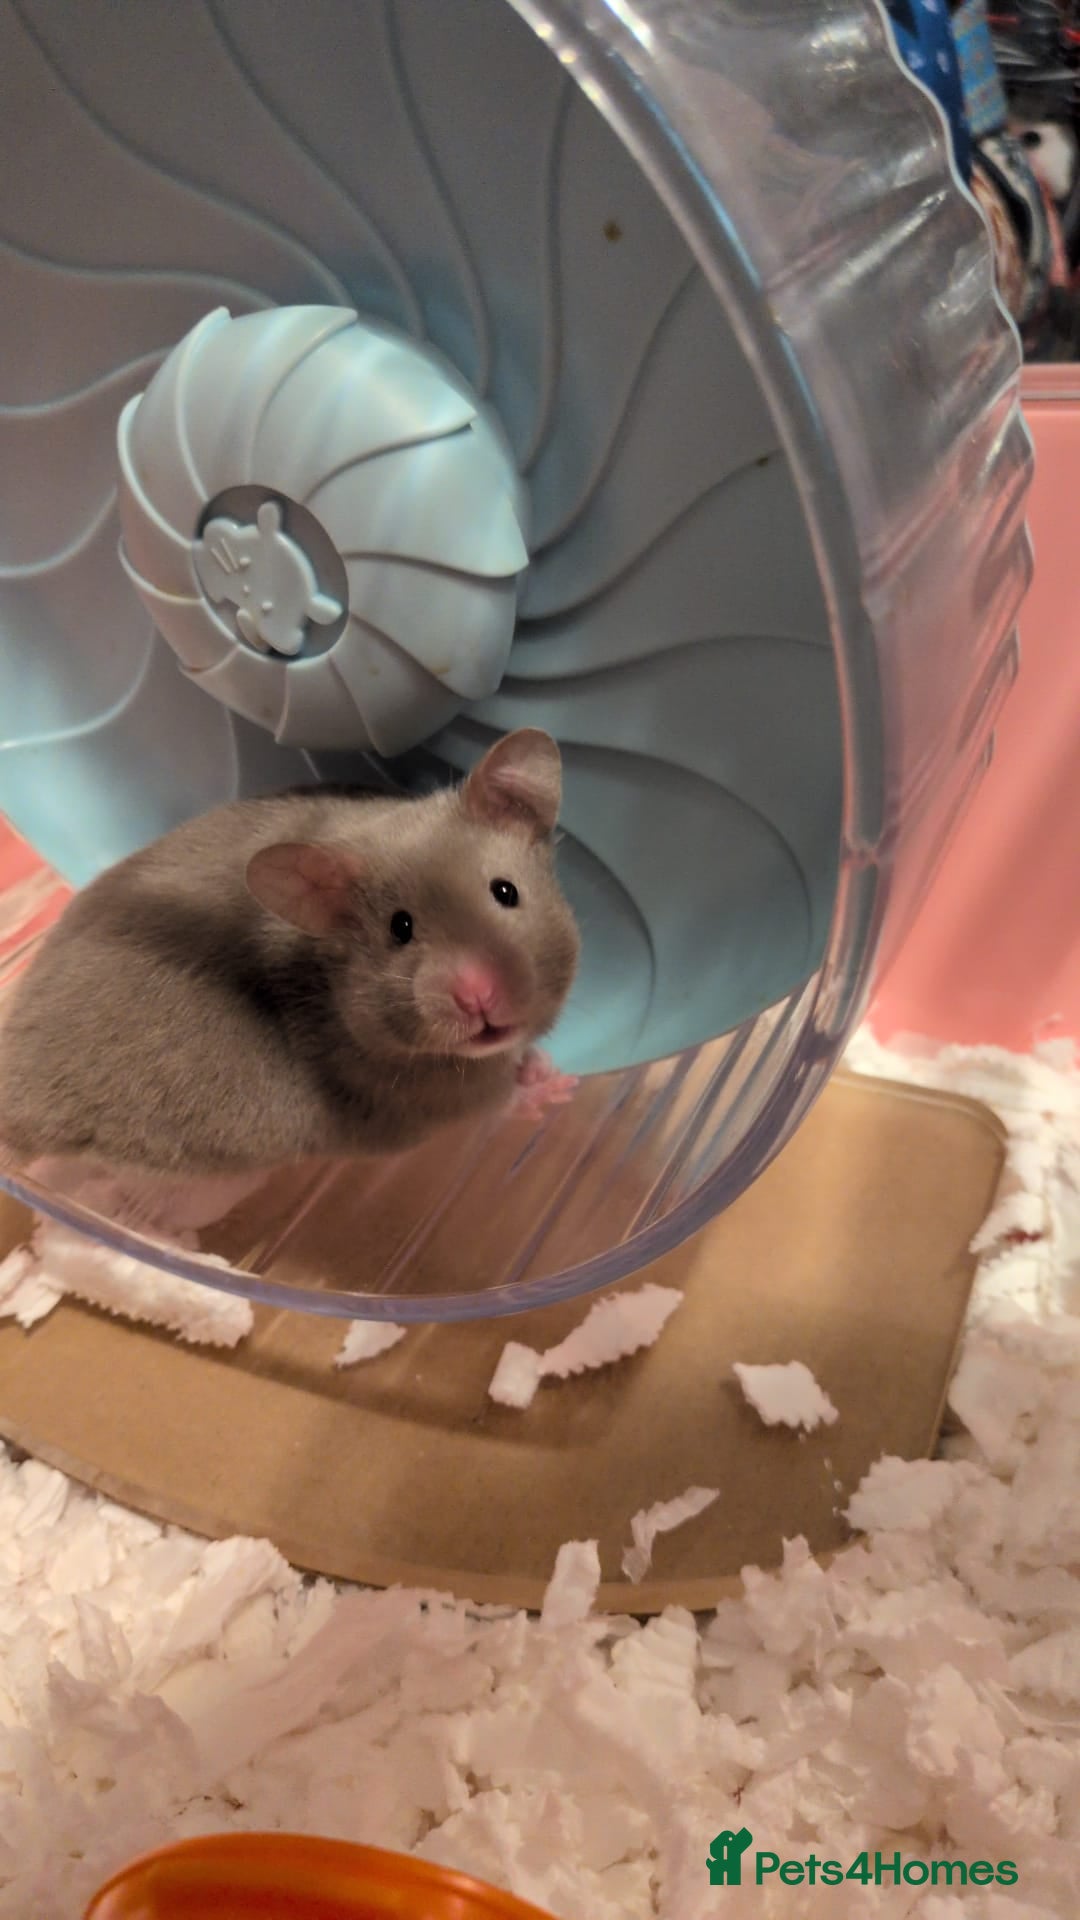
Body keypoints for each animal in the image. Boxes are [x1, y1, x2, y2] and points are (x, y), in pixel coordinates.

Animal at [0, 729, 580, 1178]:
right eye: (400, 929)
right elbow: (498, 1101)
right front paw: (558, 1090)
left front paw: (547, 1066)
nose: (478, 995)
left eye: (505, 892)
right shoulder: (428, 1103)